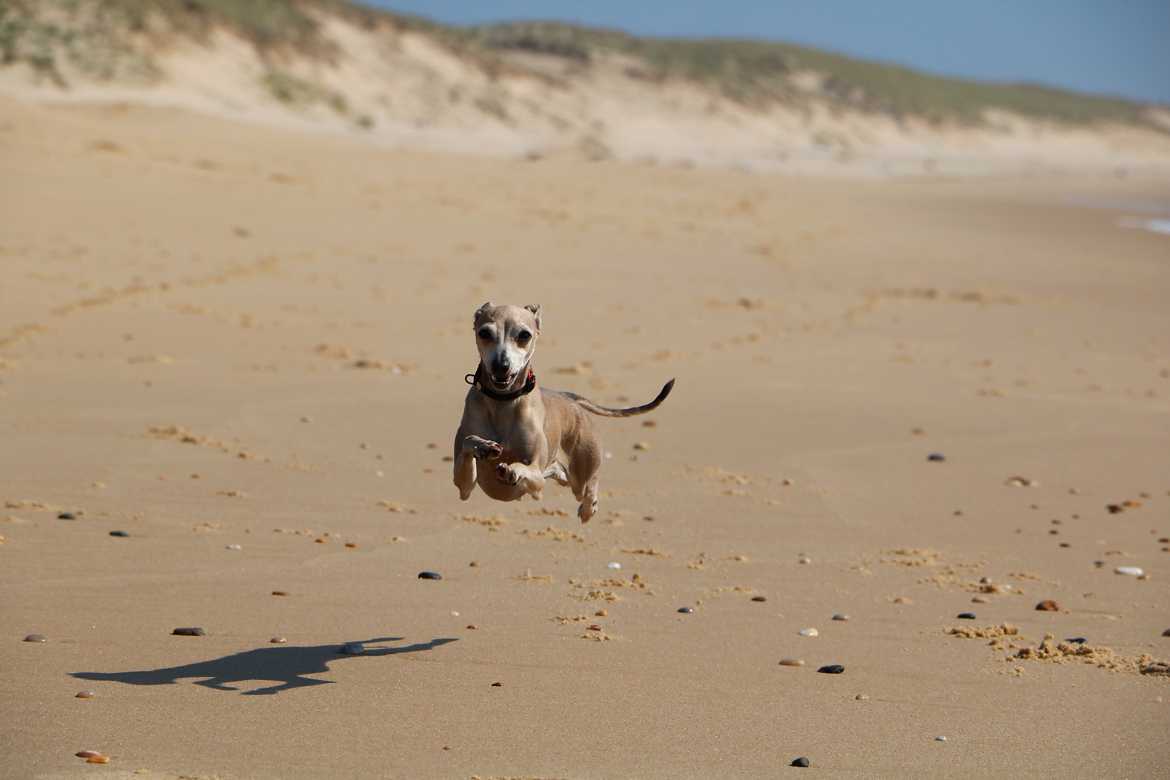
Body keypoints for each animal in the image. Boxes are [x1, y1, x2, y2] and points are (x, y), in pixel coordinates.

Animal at [456, 301, 678, 521]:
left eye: (524, 335)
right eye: (484, 333)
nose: (501, 365)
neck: (503, 401)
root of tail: (570, 399)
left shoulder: (537, 477)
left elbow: (526, 469)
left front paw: (512, 469)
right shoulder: (464, 486)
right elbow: (468, 443)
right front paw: (483, 446)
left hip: (582, 468)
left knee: (590, 482)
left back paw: (589, 507)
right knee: (565, 475)